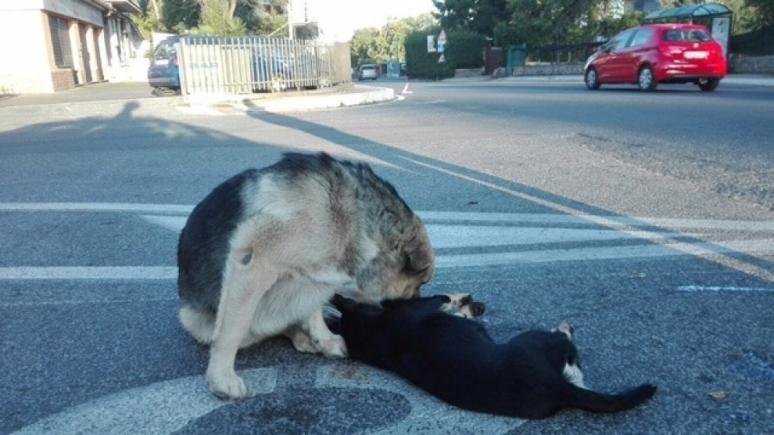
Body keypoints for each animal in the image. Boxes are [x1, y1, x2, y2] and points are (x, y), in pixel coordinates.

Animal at [177, 152, 436, 398]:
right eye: (419, 283)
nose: (418, 305)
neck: (352, 218)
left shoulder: (315, 277)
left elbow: (313, 311)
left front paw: (324, 338)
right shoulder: (252, 264)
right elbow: (232, 330)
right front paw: (221, 377)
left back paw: (306, 337)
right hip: (200, 320)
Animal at [330, 294, 656, 420]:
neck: (376, 332)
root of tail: (555, 387)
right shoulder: (420, 306)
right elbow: (441, 299)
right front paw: (459, 301)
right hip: (536, 339)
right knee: (568, 347)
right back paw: (566, 330)